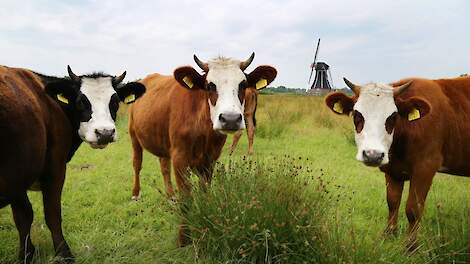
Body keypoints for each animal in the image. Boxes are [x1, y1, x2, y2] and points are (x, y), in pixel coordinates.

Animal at [0, 64, 145, 262]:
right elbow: (49, 214)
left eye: (114, 101)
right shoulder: (48, 168)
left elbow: (24, 217)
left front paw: (27, 253)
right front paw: (63, 254)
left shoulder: (19, 178)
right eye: (81, 101)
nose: (105, 133)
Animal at [126, 53, 278, 245]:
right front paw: (184, 238)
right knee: (137, 164)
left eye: (243, 84)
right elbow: (186, 200)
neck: (202, 127)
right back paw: (136, 194)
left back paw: (170, 196)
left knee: (164, 166)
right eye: (209, 85)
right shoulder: (180, 158)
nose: (230, 119)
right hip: (133, 135)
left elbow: (205, 194)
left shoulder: (209, 160)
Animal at [324, 76, 470, 250]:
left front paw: (411, 246)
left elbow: (413, 209)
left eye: (393, 117)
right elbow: (393, 203)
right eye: (357, 114)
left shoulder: (425, 168)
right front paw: (388, 235)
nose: (372, 155)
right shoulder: (392, 170)